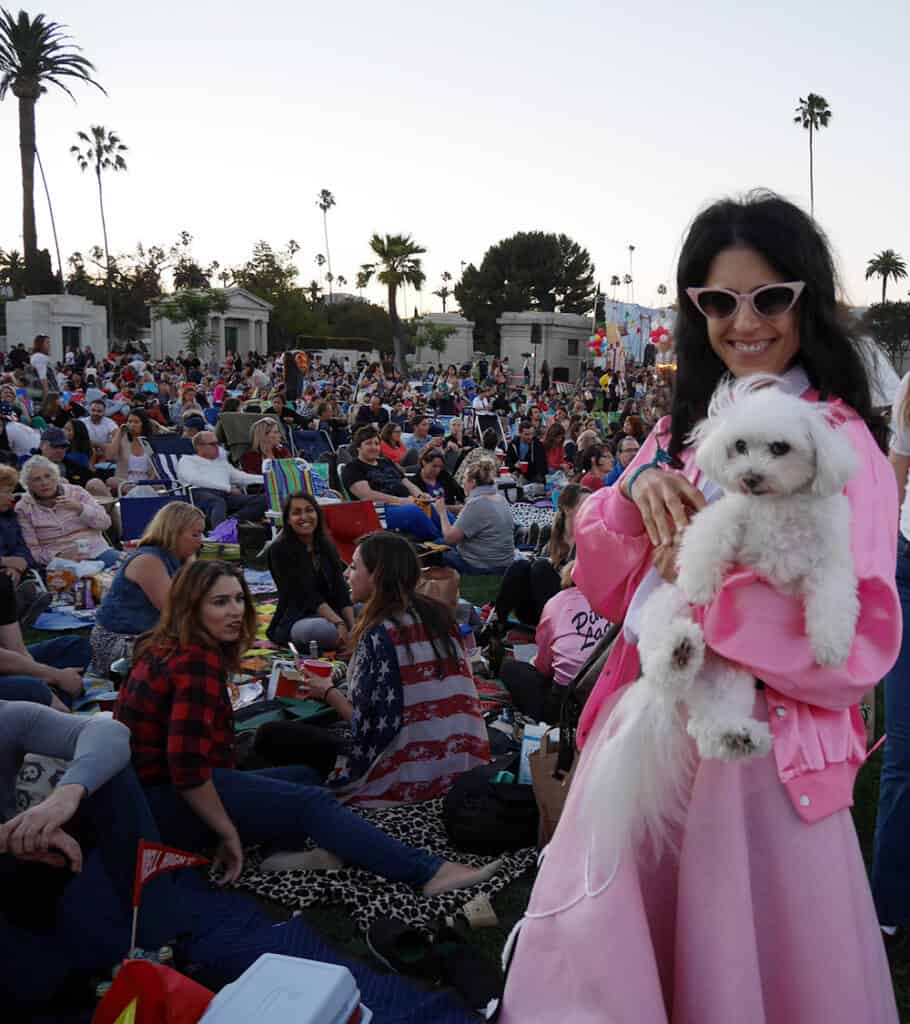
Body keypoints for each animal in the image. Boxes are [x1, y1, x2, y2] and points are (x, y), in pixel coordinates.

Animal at [581, 380, 859, 860]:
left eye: (780, 448)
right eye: (738, 446)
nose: (749, 476)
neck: (778, 506)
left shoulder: (830, 560)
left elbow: (834, 598)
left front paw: (830, 645)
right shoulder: (730, 516)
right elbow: (710, 537)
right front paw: (700, 582)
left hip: (731, 681)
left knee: (709, 724)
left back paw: (736, 735)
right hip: (664, 608)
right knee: (660, 657)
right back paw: (678, 652)